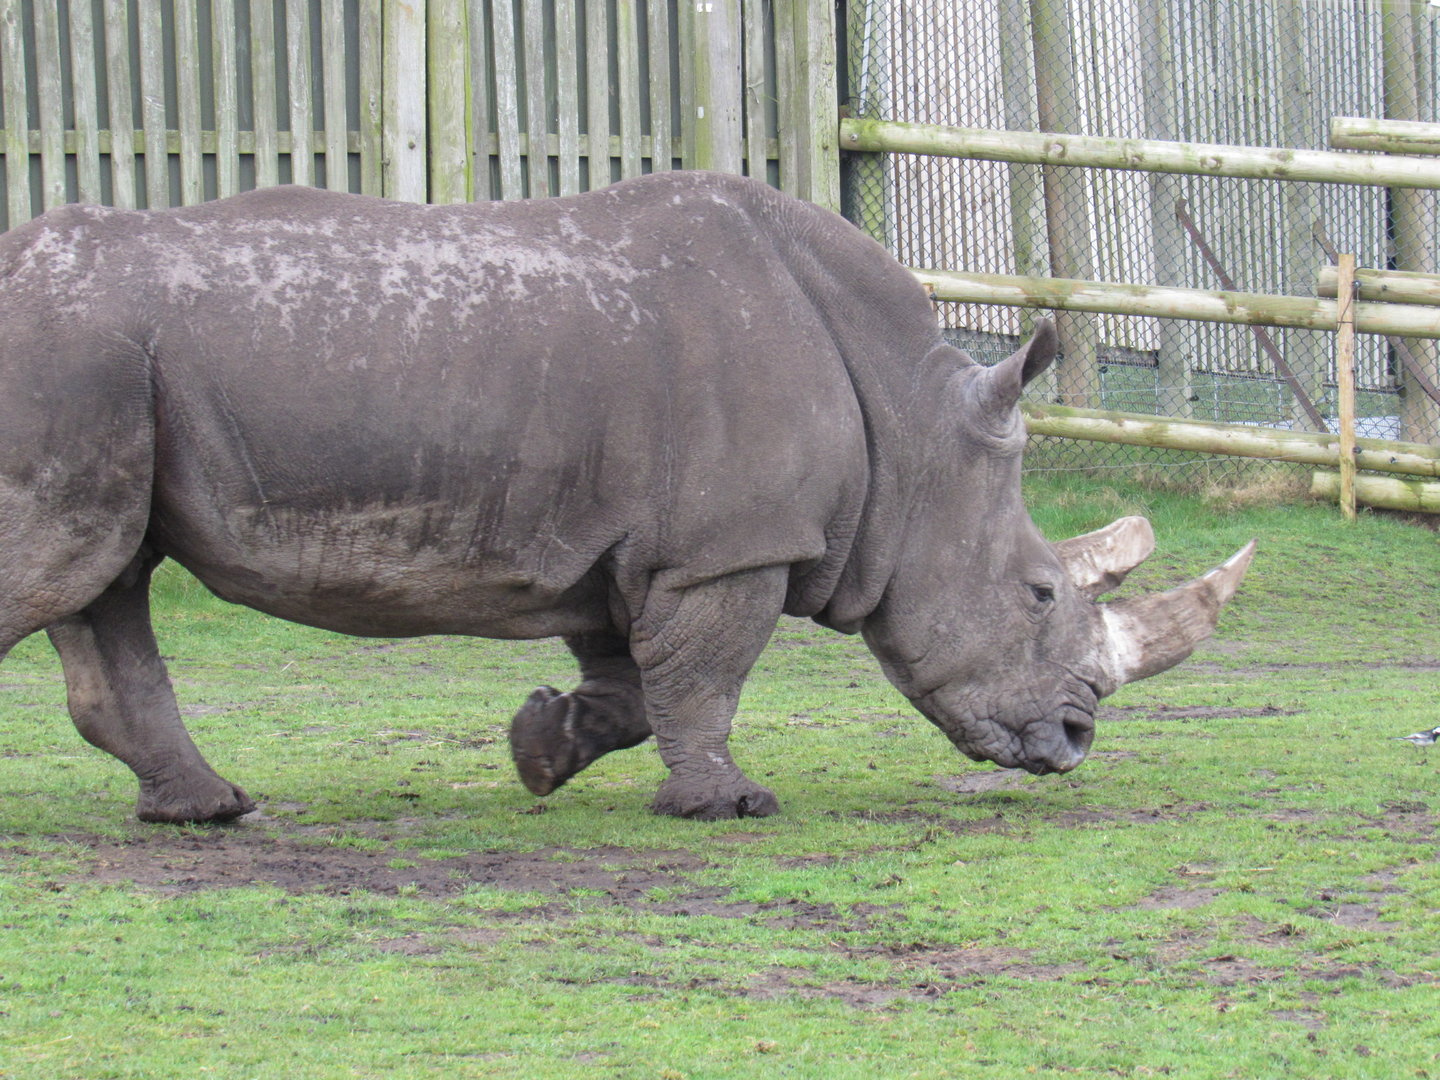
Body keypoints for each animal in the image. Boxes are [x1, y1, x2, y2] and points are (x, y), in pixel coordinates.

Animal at [0, 172, 1253, 823]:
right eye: (1040, 593)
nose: (1076, 738)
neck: (911, 423)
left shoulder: (630, 548)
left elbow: (632, 687)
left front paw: (537, 749)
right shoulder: (729, 548)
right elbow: (703, 677)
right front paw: (731, 806)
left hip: (105, 375)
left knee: (107, 582)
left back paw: (212, 808)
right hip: (70, 355)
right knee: (69, 574)